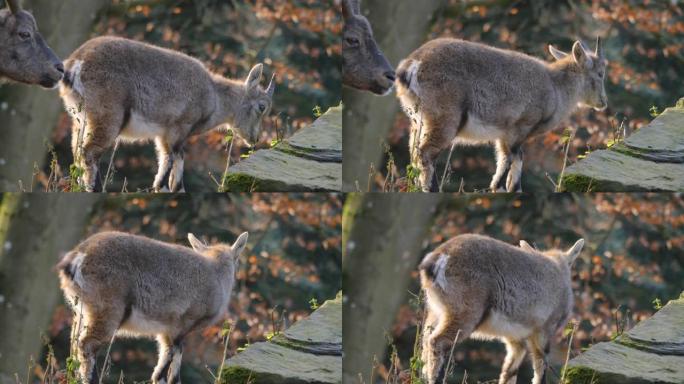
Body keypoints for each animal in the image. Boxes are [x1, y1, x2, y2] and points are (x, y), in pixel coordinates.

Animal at [56, 230, 248, 382]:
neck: (216, 275)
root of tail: (79, 256)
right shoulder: (181, 325)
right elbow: (165, 370)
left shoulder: (165, 331)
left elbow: (170, 367)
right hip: (107, 310)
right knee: (87, 345)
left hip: (82, 312)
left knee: (74, 346)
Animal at [58, 36, 272, 192]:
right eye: (262, 107)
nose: (255, 139)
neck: (213, 96)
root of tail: (75, 63)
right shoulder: (178, 128)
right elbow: (169, 162)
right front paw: (160, 187)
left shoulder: (164, 135)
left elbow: (175, 164)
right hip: (107, 117)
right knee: (89, 153)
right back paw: (94, 188)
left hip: (80, 120)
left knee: (77, 153)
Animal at [398, 38, 608, 191]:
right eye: (600, 73)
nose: (603, 102)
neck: (555, 88)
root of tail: (412, 65)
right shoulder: (519, 127)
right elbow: (507, 161)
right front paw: (497, 187)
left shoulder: (505, 135)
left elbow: (516, 162)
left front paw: (512, 188)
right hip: (444, 118)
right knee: (426, 153)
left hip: (418, 121)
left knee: (414, 154)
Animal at [420, 234, 584, 384]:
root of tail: (438, 258)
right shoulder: (544, 330)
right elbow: (540, 368)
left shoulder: (515, 338)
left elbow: (509, 371)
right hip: (464, 314)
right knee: (437, 342)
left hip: (436, 312)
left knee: (425, 343)